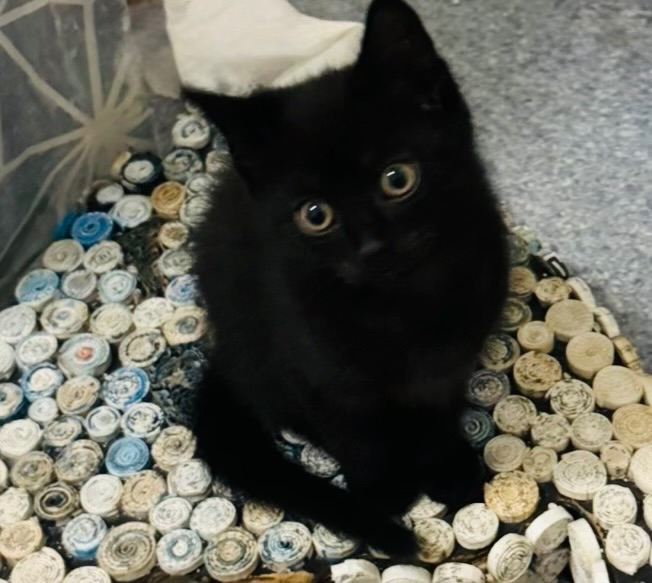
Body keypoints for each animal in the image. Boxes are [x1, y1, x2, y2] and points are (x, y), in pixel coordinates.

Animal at [184, 0, 508, 556]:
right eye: (315, 214)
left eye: (397, 178)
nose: (373, 247)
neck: (399, 307)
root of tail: (222, 351)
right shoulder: (315, 368)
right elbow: (353, 431)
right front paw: (385, 490)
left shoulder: (449, 363)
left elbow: (438, 409)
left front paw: (446, 466)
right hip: (258, 345)